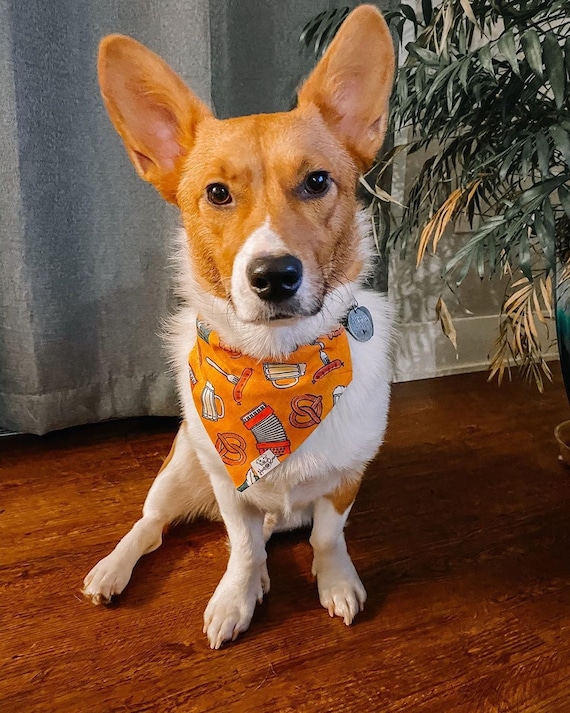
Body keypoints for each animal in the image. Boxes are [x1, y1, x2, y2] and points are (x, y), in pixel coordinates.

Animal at [83, 5, 394, 648]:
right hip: (179, 470)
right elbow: (243, 547)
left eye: (317, 182)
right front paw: (236, 597)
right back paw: (112, 569)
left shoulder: (346, 477)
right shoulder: (230, 489)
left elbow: (327, 536)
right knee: (150, 525)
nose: (274, 276)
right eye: (217, 193)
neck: (274, 360)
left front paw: (335, 580)